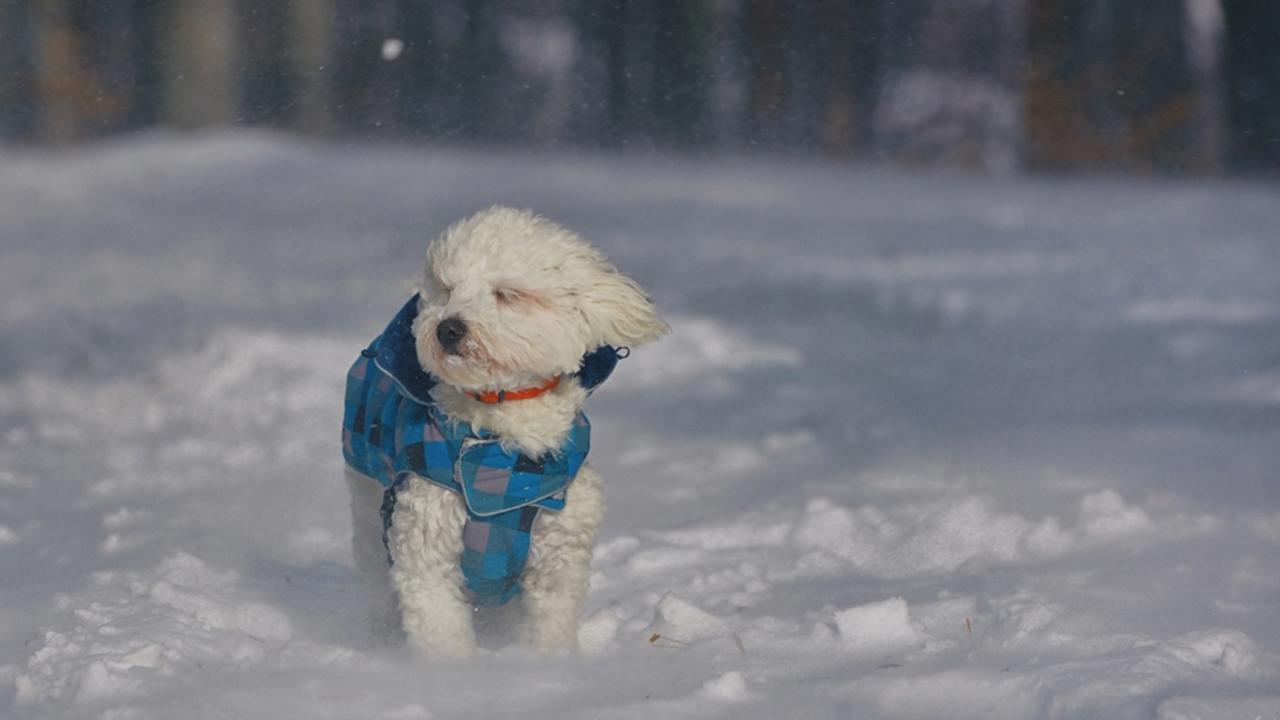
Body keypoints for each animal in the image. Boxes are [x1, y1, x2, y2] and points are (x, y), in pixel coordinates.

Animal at [340, 204, 670, 653]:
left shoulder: (558, 555)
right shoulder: (428, 546)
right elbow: (440, 629)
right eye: (446, 289)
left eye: (507, 294)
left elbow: (550, 625)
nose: (448, 328)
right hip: (368, 512)